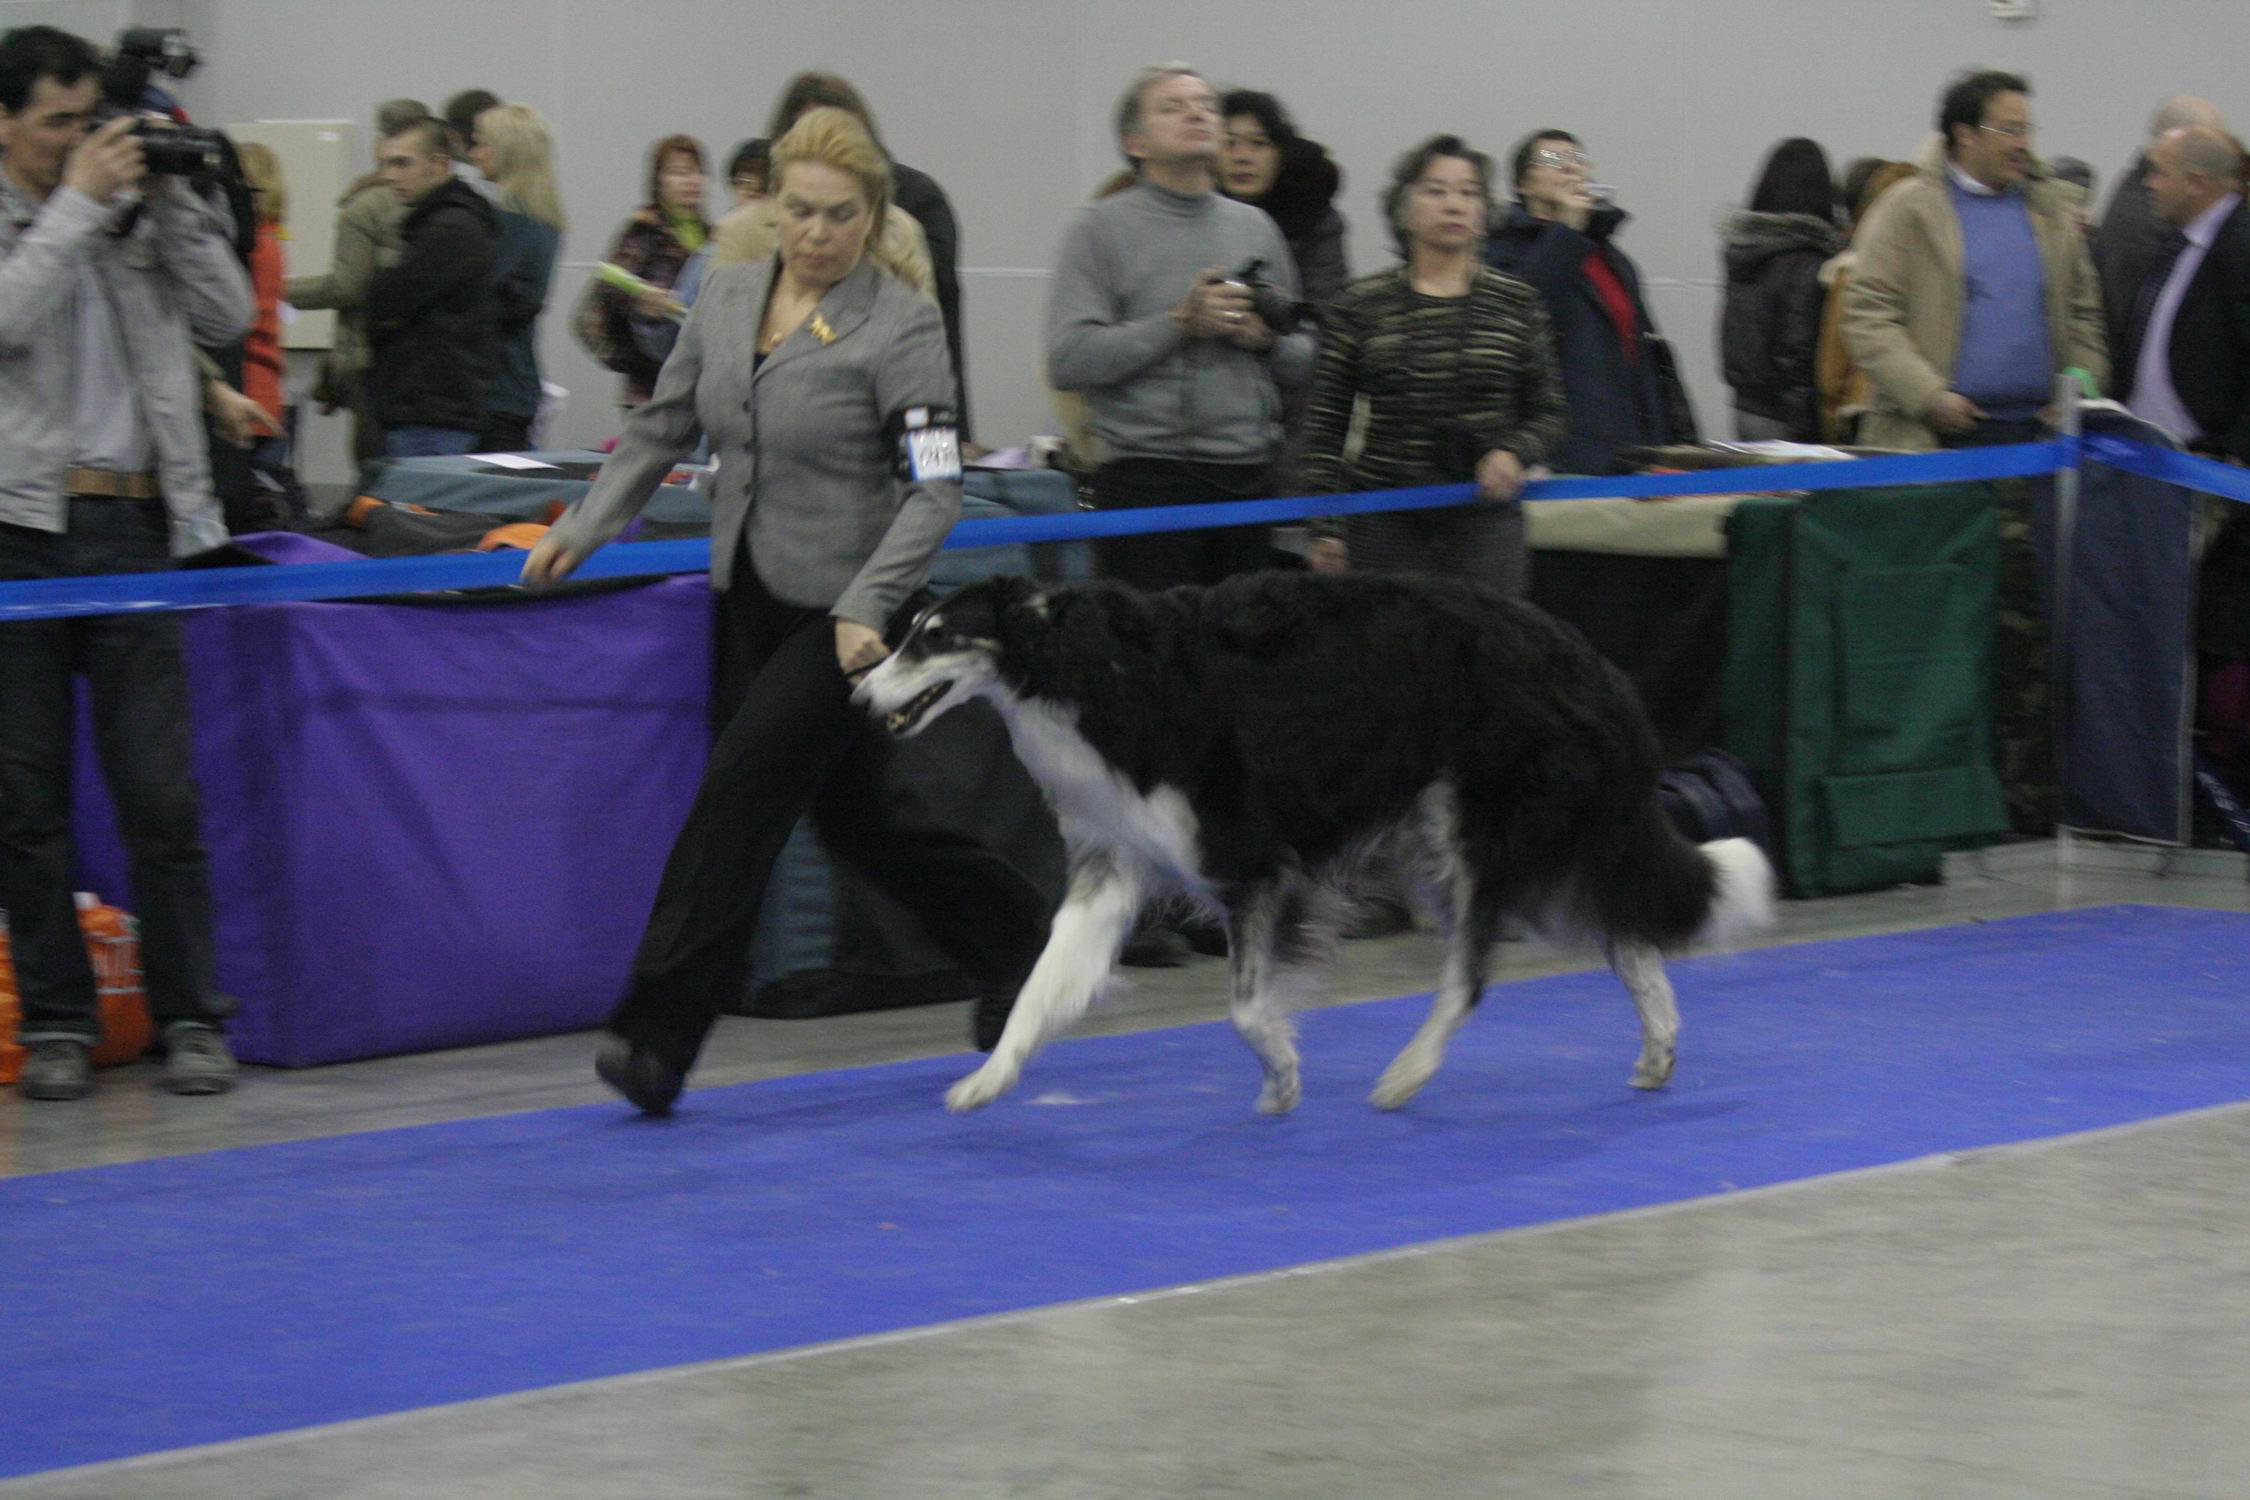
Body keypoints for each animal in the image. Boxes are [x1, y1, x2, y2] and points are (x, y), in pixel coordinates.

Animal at [853, 570, 1774, 1115]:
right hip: (1483, 840)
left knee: (1475, 976)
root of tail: (1594, 665)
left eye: (934, 639)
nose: (859, 696)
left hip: (1472, 836)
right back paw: (1658, 1053)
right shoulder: (1115, 865)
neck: (1078, 667)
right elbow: (1042, 989)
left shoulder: (1253, 866)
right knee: (1630, 940)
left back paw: (1407, 1075)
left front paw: (1281, 1073)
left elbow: (1243, 1008)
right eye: (905, 632)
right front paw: (985, 1080)